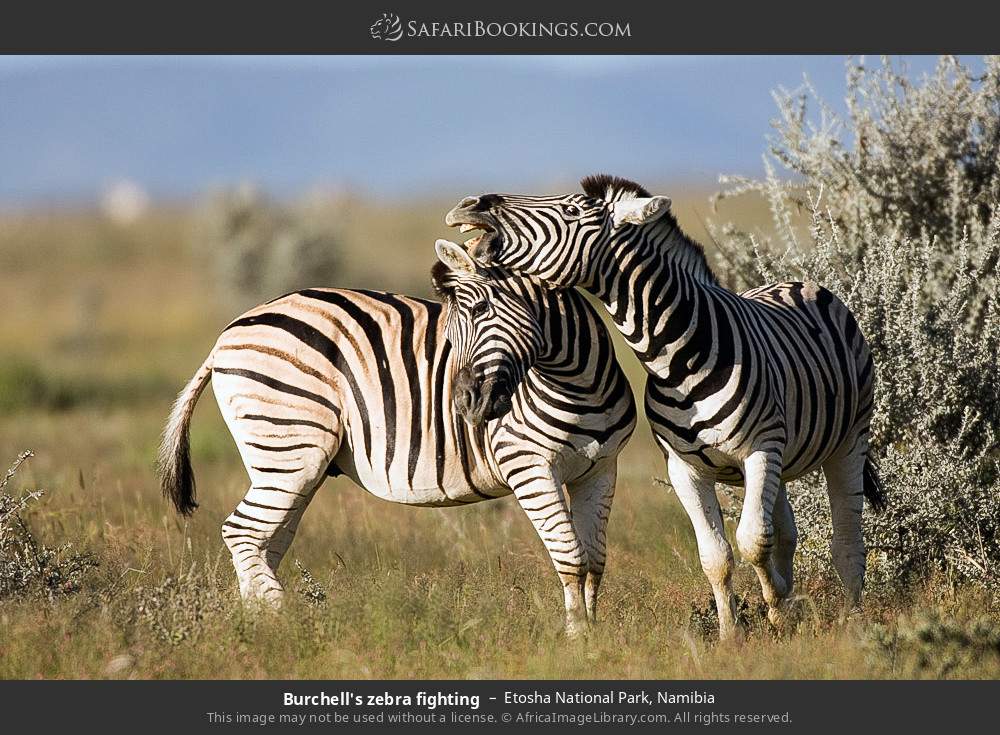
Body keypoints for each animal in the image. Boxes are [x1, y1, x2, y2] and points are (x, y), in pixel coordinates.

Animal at [157, 238, 636, 636]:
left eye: (481, 311)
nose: (464, 403)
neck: (579, 384)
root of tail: (227, 334)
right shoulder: (529, 464)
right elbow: (570, 557)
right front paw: (575, 640)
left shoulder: (601, 469)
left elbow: (594, 560)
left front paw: (596, 639)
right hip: (289, 447)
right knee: (241, 531)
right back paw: (282, 620)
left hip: (290, 462)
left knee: (264, 543)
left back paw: (257, 627)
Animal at [445, 175, 885, 640]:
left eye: (573, 210)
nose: (469, 204)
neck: (679, 357)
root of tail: (801, 284)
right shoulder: (685, 467)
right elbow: (718, 555)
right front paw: (735, 633)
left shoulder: (761, 450)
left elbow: (751, 541)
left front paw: (776, 609)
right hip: (782, 458)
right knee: (785, 531)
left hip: (849, 440)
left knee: (846, 542)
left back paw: (854, 622)